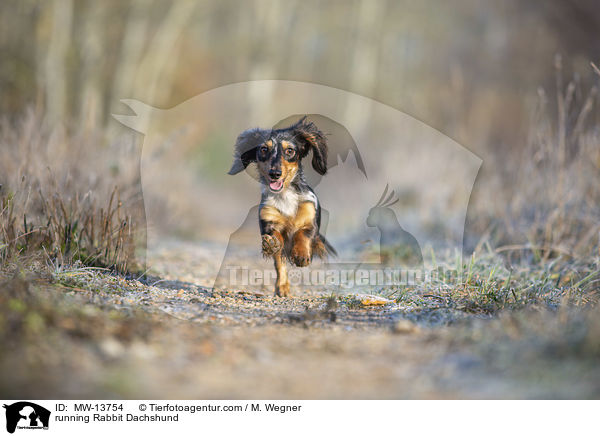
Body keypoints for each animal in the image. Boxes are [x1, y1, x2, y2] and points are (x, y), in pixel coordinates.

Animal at [229, 116, 336, 296]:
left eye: (290, 150)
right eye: (264, 149)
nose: (275, 174)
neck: (285, 195)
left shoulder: (311, 220)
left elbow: (303, 233)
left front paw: (301, 255)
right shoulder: (268, 220)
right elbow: (277, 243)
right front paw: (272, 244)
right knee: (280, 264)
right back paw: (282, 287)